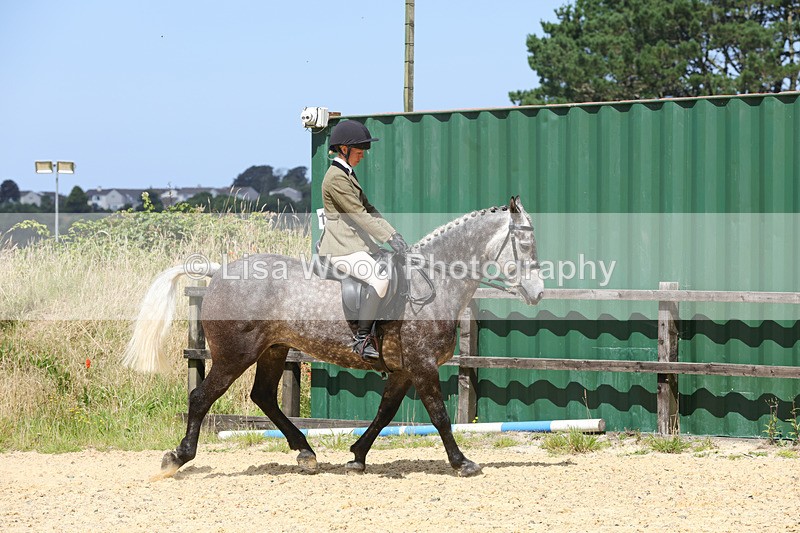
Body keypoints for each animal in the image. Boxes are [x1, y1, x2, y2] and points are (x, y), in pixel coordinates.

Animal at [123, 196, 544, 477]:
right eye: (525, 244)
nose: (538, 292)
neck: (435, 280)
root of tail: (218, 272)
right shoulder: (422, 365)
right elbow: (439, 415)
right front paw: (462, 463)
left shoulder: (403, 369)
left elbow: (385, 413)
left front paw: (357, 455)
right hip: (234, 354)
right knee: (201, 397)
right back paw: (177, 457)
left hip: (273, 349)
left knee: (264, 397)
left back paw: (305, 452)